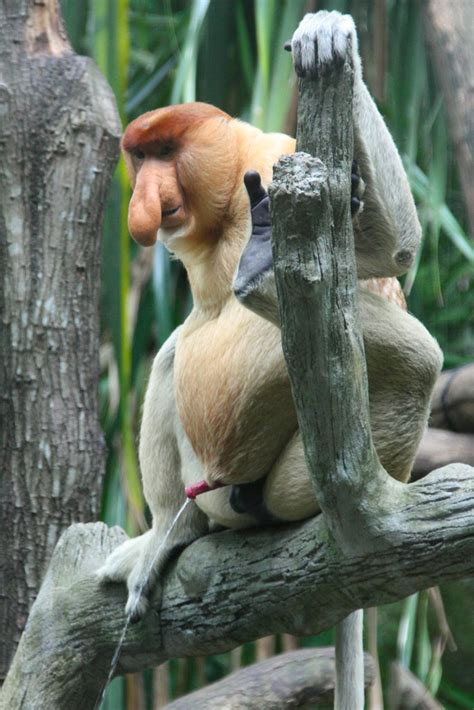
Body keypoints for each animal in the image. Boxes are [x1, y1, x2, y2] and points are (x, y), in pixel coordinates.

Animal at [98, 11, 442, 624]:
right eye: (139, 157)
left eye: (165, 150)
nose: (143, 200)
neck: (229, 207)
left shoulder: (276, 157)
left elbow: (392, 250)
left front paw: (327, 34)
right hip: (204, 482)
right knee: (173, 354)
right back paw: (168, 534)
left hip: (288, 484)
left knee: (416, 360)